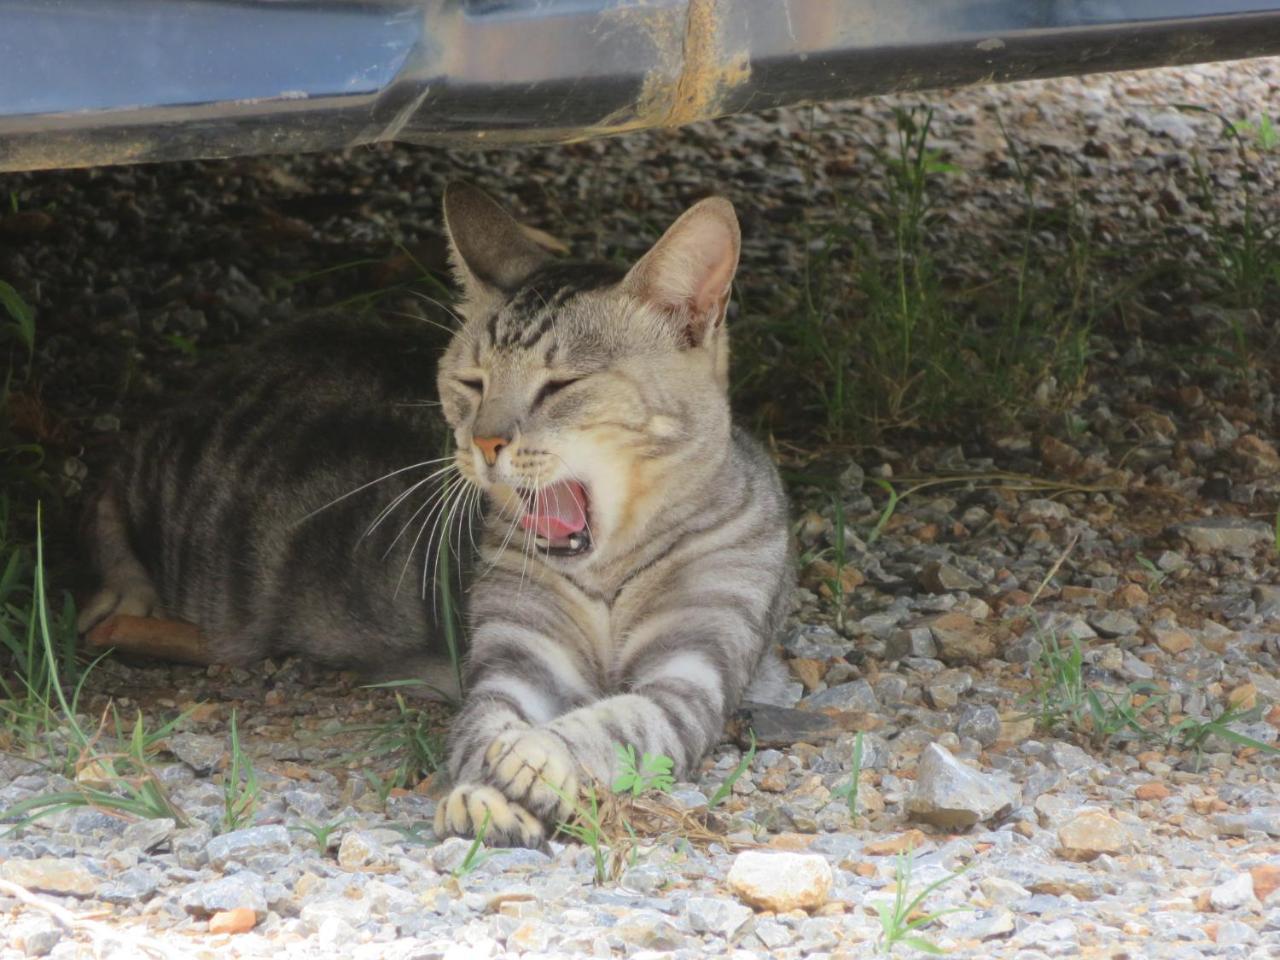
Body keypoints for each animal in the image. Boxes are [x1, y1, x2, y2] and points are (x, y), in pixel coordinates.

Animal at [77, 185, 788, 849]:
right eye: (472, 382)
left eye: (561, 385)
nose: (486, 441)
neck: (606, 571)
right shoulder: (515, 660)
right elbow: (486, 723)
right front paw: (489, 790)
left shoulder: (691, 673)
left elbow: (619, 719)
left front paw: (540, 754)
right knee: (111, 477)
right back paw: (125, 598)